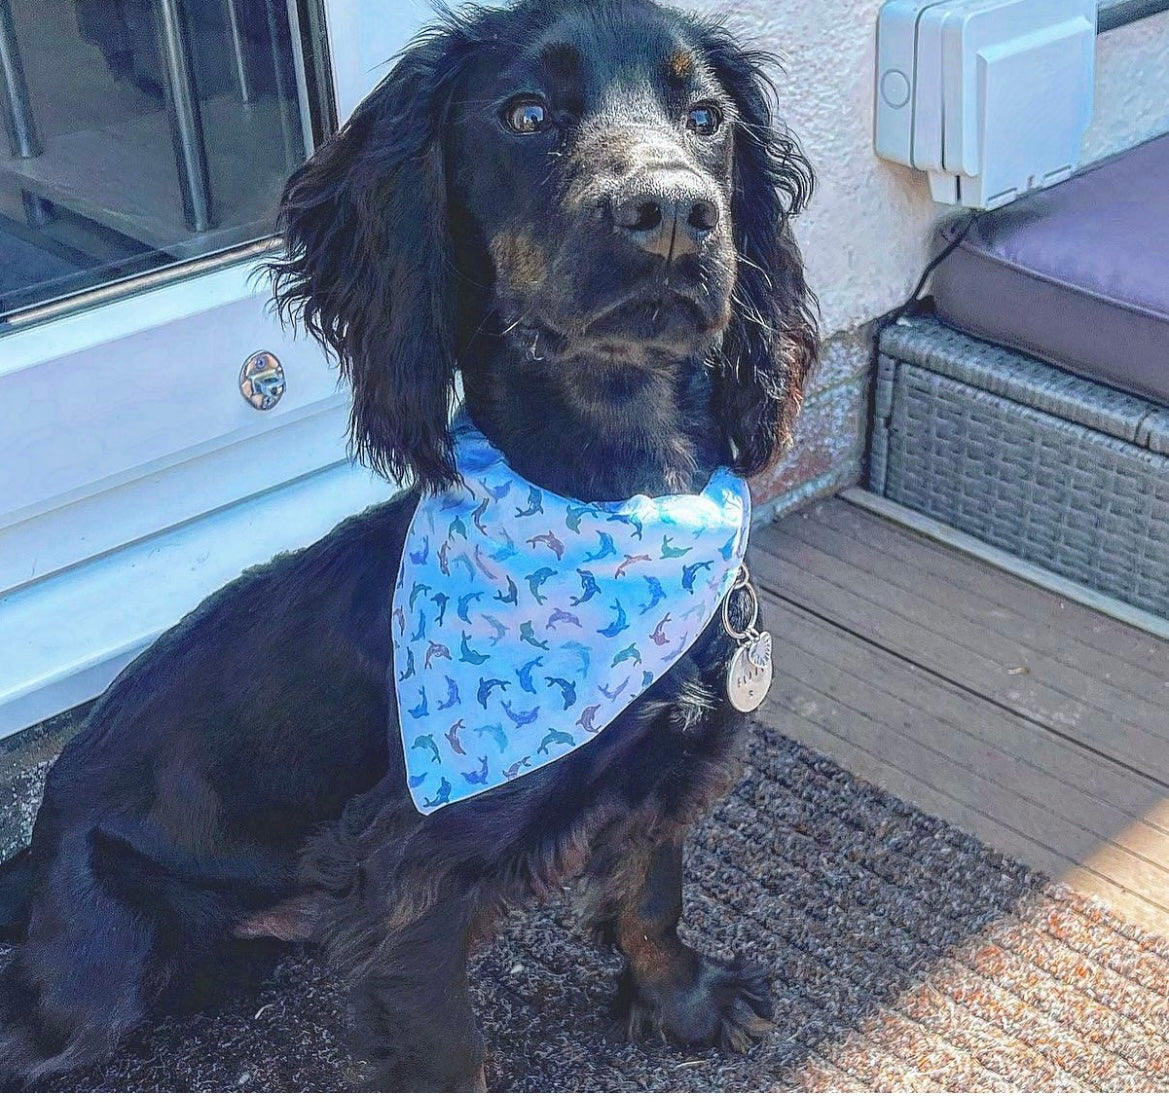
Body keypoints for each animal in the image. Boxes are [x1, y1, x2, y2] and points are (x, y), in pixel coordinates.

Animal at [0, 0, 813, 1084]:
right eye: (523, 113)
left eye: (705, 116)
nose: (674, 212)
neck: (621, 493)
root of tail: (36, 846)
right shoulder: (409, 881)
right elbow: (444, 1048)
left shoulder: (665, 765)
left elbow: (651, 894)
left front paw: (684, 1003)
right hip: (107, 964)